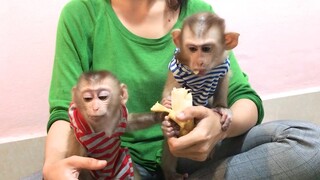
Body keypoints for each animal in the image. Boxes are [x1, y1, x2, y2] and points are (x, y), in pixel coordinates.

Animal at [160, 11, 240, 179]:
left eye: (206, 49)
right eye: (192, 48)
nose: (199, 62)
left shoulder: (223, 64)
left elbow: (223, 79)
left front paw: (221, 108)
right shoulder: (176, 67)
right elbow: (171, 88)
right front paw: (167, 104)